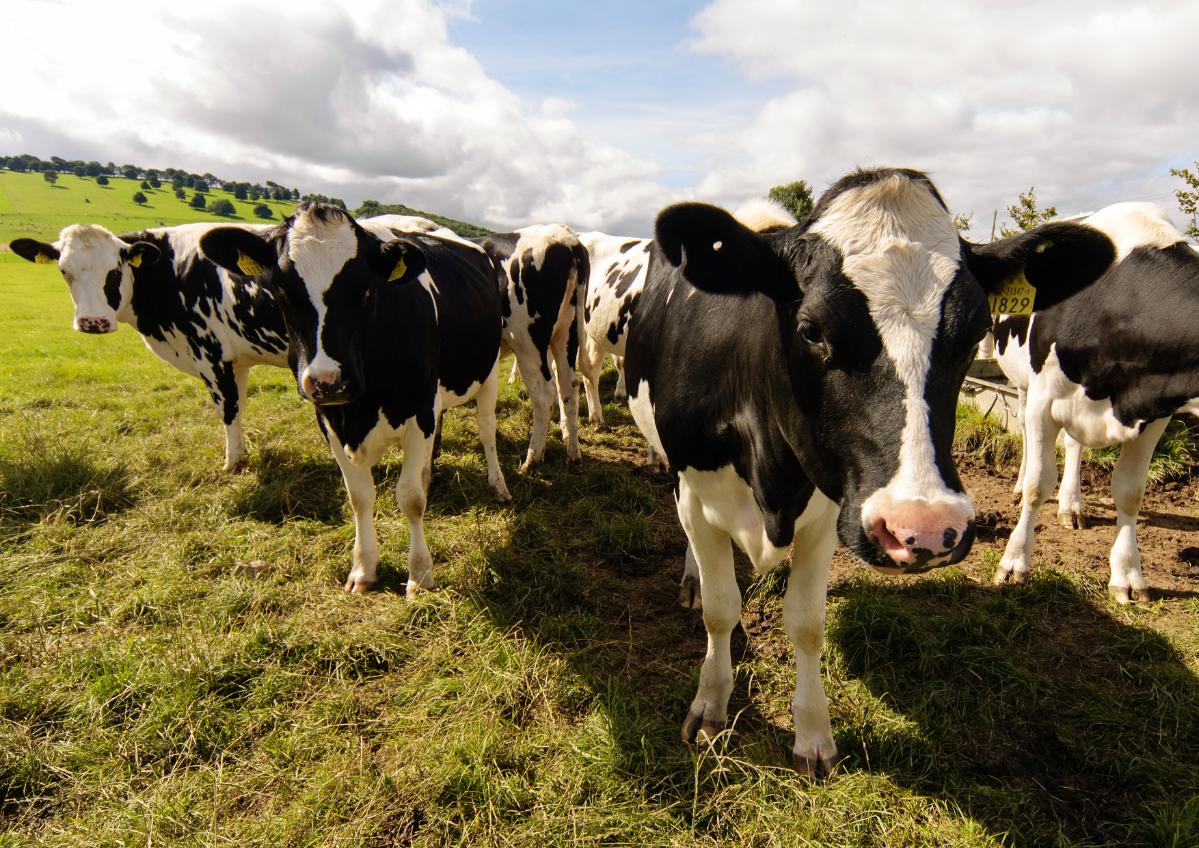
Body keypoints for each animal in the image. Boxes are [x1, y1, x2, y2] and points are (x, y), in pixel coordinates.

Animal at [10, 223, 288, 471]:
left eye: (115, 270)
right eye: (64, 271)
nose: (92, 322)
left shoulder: (210, 354)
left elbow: (227, 410)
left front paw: (231, 464)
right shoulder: (236, 360)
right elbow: (239, 408)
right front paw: (239, 455)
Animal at [199, 202, 511, 596]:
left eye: (365, 290)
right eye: (281, 290)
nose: (328, 381)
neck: (362, 408)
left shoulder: (420, 411)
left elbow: (410, 498)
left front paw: (420, 575)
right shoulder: (329, 419)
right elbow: (359, 495)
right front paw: (364, 569)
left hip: (488, 370)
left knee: (486, 429)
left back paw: (498, 484)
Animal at [475, 226, 590, 470]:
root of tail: (567, 240)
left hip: (526, 342)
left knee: (544, 394)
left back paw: (532, 459)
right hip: (566, 334)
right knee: (569, 387)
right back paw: (573, 453)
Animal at [624, 167, 1116, 774]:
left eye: (976, 329)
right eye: (811, 329)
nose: (924, 529)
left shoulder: (828, 510)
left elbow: (806, 622)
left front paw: (813, 735)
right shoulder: (694, 490)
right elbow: (721, 610)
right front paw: (711, 708)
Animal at [993, 202, 1199, 603]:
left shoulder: (1153, 415)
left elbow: (1130, 492)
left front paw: (1128, 576)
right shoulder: (1042, 400)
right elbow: (1038, 484)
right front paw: (1014, 562)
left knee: (1074, 445)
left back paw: (1071, 505)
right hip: (1023, 383)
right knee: (1025, 435)